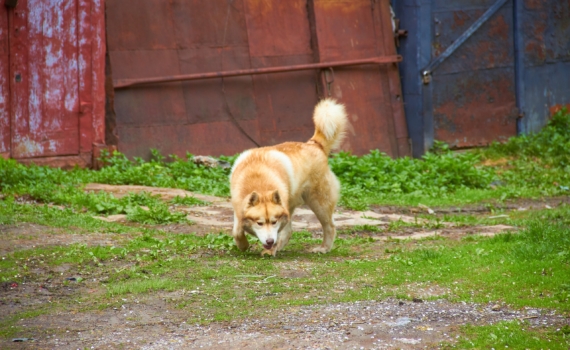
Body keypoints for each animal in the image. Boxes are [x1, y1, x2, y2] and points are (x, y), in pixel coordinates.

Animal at [230, 98, 346, 258]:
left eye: (273, 222)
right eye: (259, 223)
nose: (270, 241)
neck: (259, 181)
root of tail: (314, 145)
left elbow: (279, 231)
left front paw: (270, 249)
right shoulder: (237, 207)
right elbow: (237, 230)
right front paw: (243, 245)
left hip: (318, 203)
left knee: (329, 226)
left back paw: (323, 248)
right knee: (290, 230)